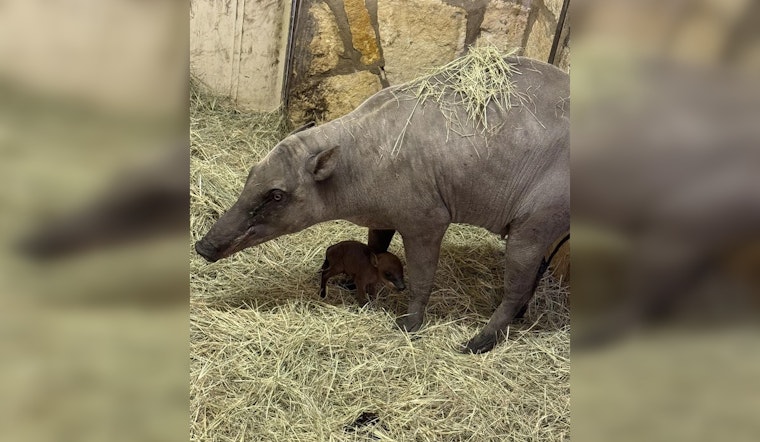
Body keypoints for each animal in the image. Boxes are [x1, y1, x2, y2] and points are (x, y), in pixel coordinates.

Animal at [195, 55, 569, 353]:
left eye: (276, 195)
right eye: (250, 174)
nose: (203, 247)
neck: (359, 161)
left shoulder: (426, 223)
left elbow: (421, 276)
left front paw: (409, 323)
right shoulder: (383, 218)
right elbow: (376, 245)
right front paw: (354, 278)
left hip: (533, 225)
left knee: (516, 287)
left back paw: (480, 340)